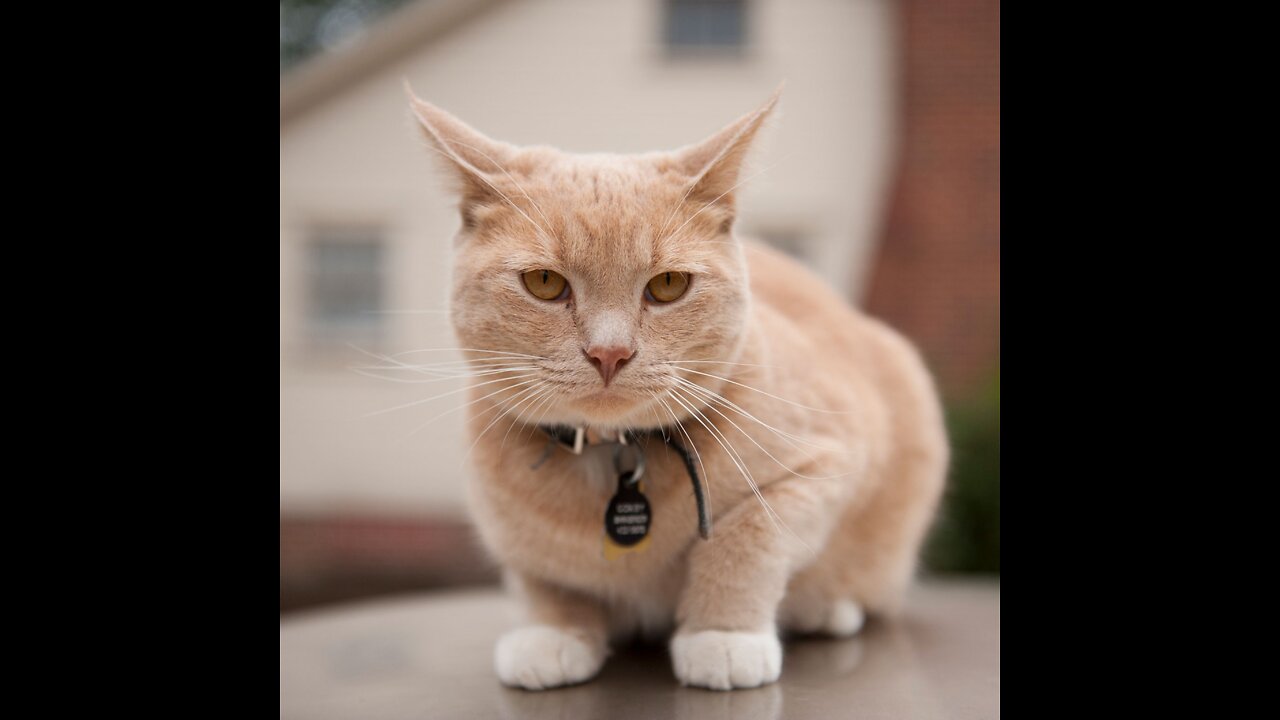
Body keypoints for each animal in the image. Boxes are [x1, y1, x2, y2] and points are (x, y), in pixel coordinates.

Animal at [404, 85, 947, 691]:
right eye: (544, 283)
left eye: (667, 285)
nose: (610, 353)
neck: (612, 458)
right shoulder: (510, 534)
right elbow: (543, 577)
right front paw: (553, 632)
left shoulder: (827, 466)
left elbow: (746, 538)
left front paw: (723, 636)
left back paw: (828, 609)